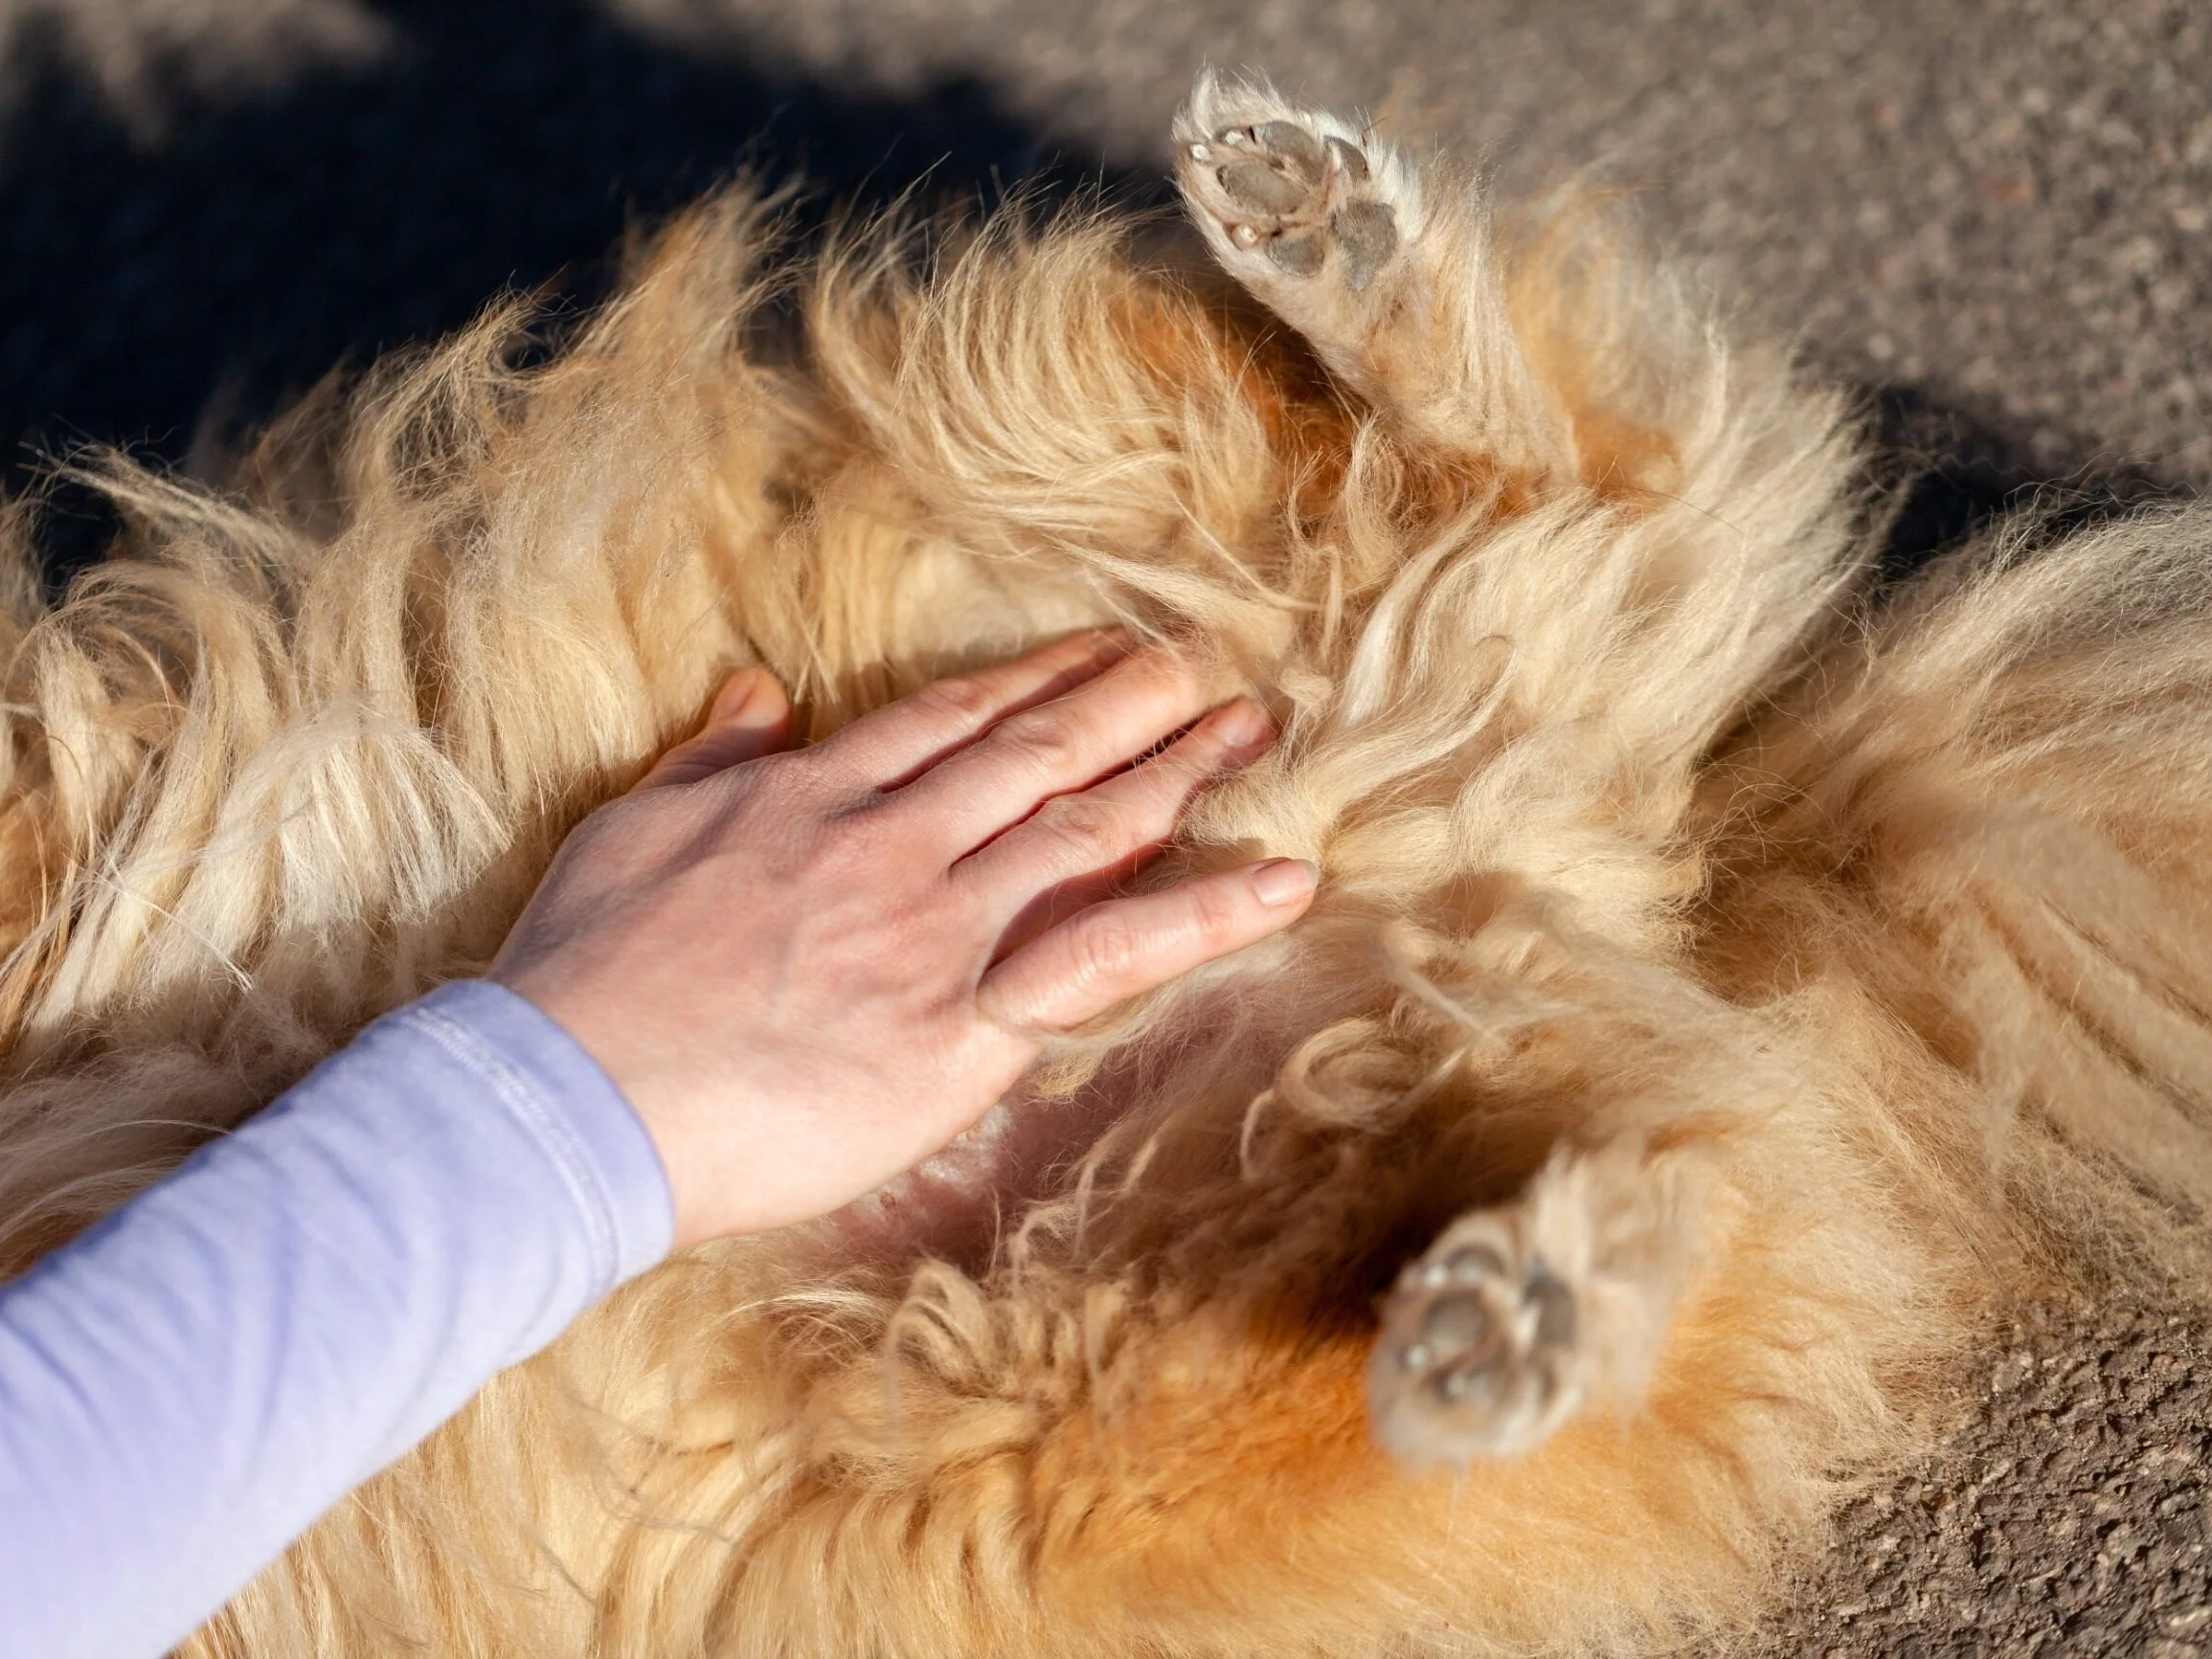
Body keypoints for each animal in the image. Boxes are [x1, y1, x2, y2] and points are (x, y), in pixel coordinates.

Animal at [4, 74, 2212, 1659]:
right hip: (1124, 1373)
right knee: (1671, 1186)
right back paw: (1518, 1307)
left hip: (1092, 475)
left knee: (1564, 460)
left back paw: (1316, 229)